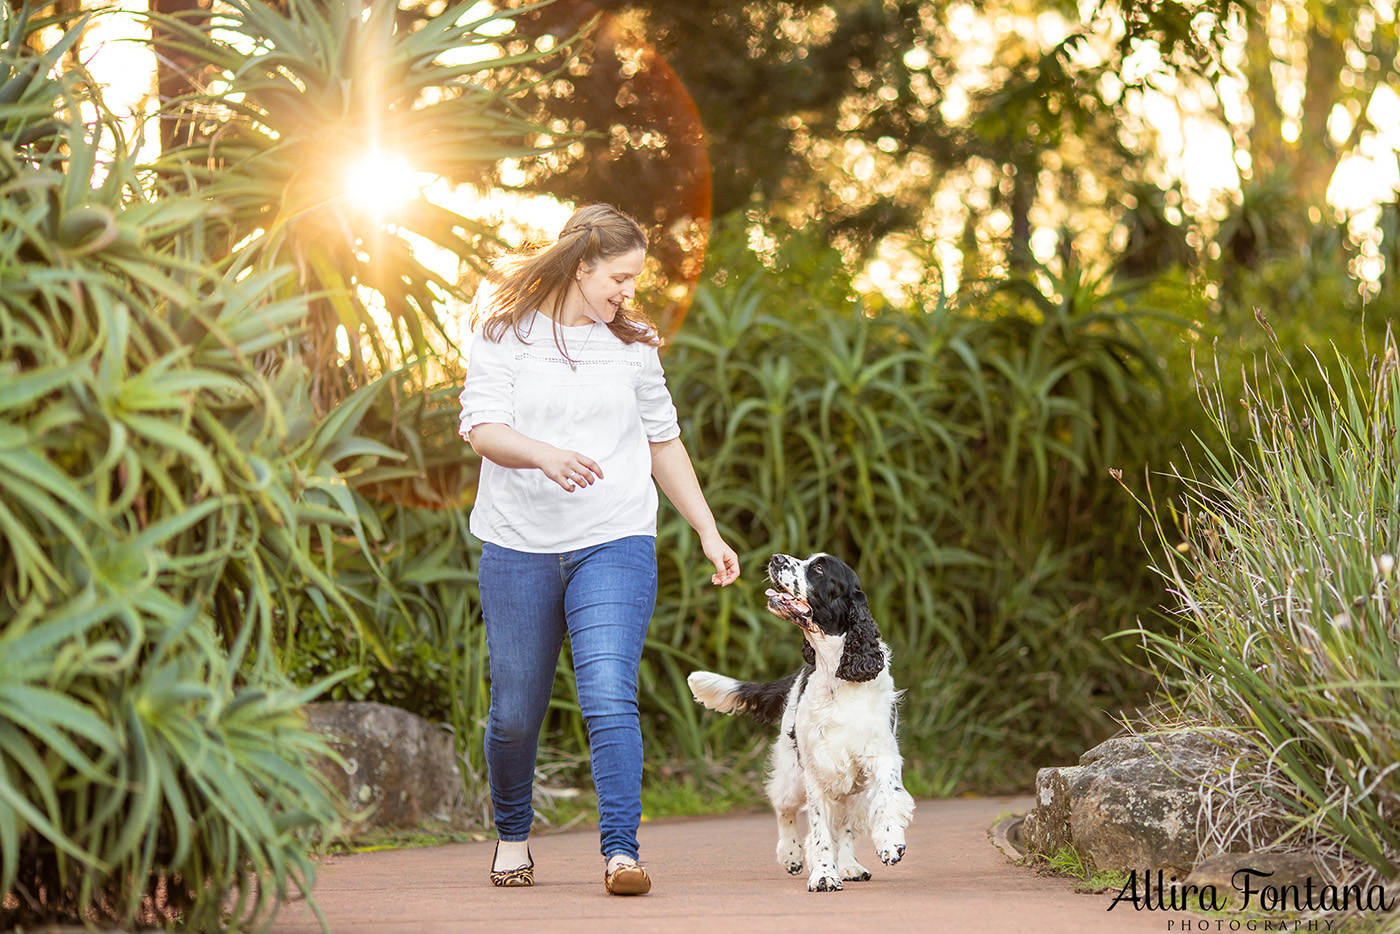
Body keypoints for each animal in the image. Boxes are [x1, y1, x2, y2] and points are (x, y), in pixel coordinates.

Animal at [683, 551, 912, 896]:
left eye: (818, 568)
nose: (776, 558)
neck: (835, 677)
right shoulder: (816, 771)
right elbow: (819, 830)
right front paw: (823, 875)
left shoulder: (879, 756)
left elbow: (887, 796)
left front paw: (890, 844)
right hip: (792, 772)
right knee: (784, 808)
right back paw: (791, 854)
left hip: (852, 789)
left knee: (845, 824)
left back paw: (850, 866)